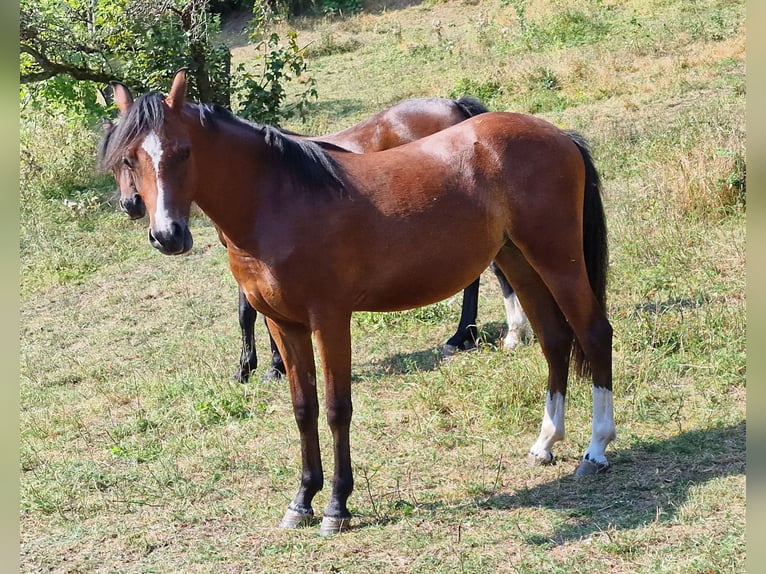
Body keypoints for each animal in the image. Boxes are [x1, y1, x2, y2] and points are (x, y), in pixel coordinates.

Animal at [105, 86, 532, 382]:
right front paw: (262, 365)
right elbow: (251, 313)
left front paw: (264, 367)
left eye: (183, 153)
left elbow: (250, 315)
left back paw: (475, 335)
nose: (133, 206)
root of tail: (457, 107)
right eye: (123, 159)